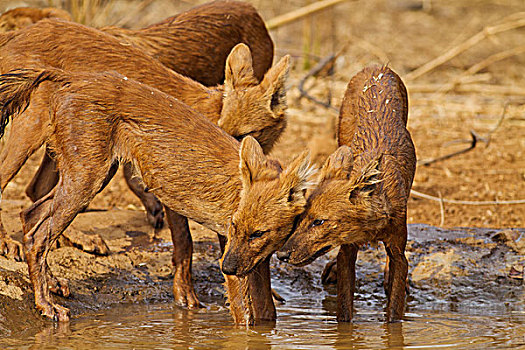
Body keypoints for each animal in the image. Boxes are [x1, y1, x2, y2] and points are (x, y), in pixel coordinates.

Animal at [0, 19, 288, 308]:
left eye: (242, 136)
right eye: (222, 130)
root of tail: (21, 32)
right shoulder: (178, 186)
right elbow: (185, 242)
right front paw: (186, 295)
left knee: (36, 197)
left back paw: (56, 275)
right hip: (33, 130)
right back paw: (11, 247)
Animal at [276, 65, 416, 322]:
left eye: (319, 222)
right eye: (299, 219)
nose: (282, 255)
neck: (371, 230)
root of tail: (377, 67)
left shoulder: (397, 248)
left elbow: (394, 310)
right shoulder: (348, 250)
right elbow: (343, 310)